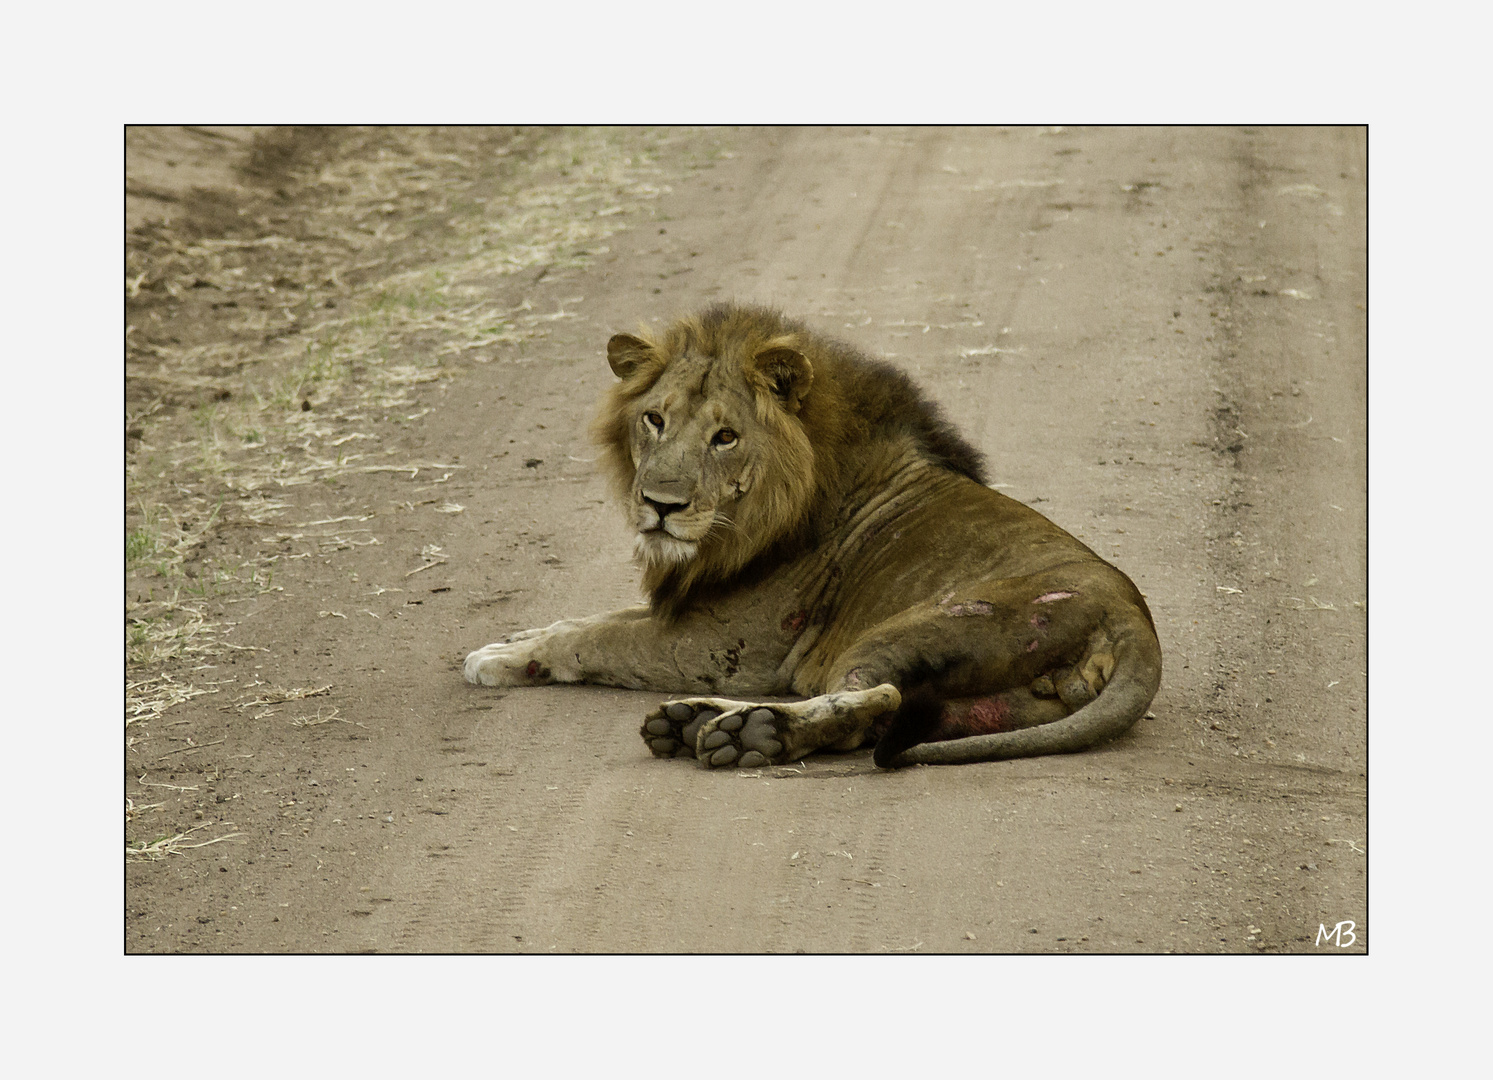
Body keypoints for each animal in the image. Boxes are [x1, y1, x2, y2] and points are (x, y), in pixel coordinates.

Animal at [459, 304, 1158, 770]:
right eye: (654, 420)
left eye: (725, 436)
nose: (659, 505)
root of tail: (1133, 623)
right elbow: (598, 616)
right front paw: (517, 638)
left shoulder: (729, 643)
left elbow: (599, 638)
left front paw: (499, 660)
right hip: (1002, 702)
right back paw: (704, 724)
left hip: (920, 626)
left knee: (878, 698)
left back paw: (743, 731)